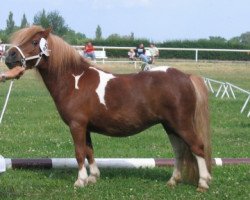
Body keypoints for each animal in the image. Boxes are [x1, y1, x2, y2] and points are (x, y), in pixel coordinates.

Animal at [5, 25, 211, 191]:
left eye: (34, 41)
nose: (9, 56)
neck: (74, 81)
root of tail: (186, 77)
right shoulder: (86, 127)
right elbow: (89, 151)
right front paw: (93, 177)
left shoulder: (76, 125)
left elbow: (79, 153)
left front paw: (80, 181)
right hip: (170, 126)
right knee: (179, 151)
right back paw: (173, 181)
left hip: (181, 124)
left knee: (197, 148)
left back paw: (203, 183)